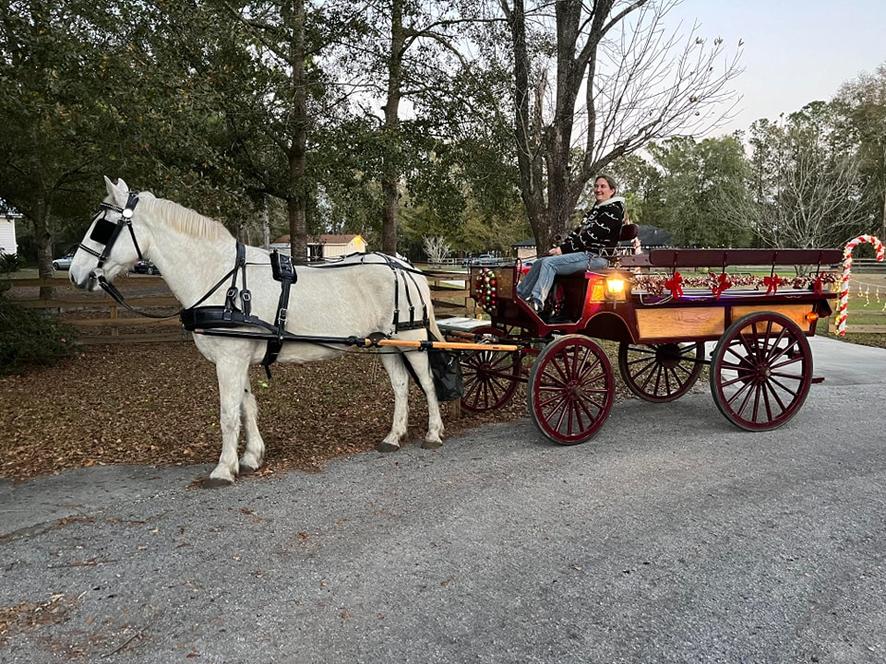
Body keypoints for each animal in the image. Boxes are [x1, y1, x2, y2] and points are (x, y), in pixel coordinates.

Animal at [70, 179, 448, 486]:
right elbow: (246, 407)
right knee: (400, 385)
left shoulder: (230, 359)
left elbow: (227, 414)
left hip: (411, 340)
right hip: (386, 343)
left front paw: (223, 469)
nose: (75, 273)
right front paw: (251, 457)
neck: (222, 278)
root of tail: (405, 265)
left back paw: (433, 432)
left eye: (102, 227)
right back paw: (393, 436)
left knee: (427, 383)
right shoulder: (237, 358)